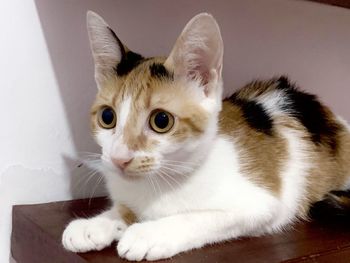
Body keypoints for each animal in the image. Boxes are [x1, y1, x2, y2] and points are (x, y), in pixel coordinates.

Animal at [61, 10, 350, 262]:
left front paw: (149, 233)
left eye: (161, 121)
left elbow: (198, 216)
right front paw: (98, 223)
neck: (160, 182)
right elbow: (125, 208)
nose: (119, 158)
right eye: (107, 117)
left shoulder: (262, 205)